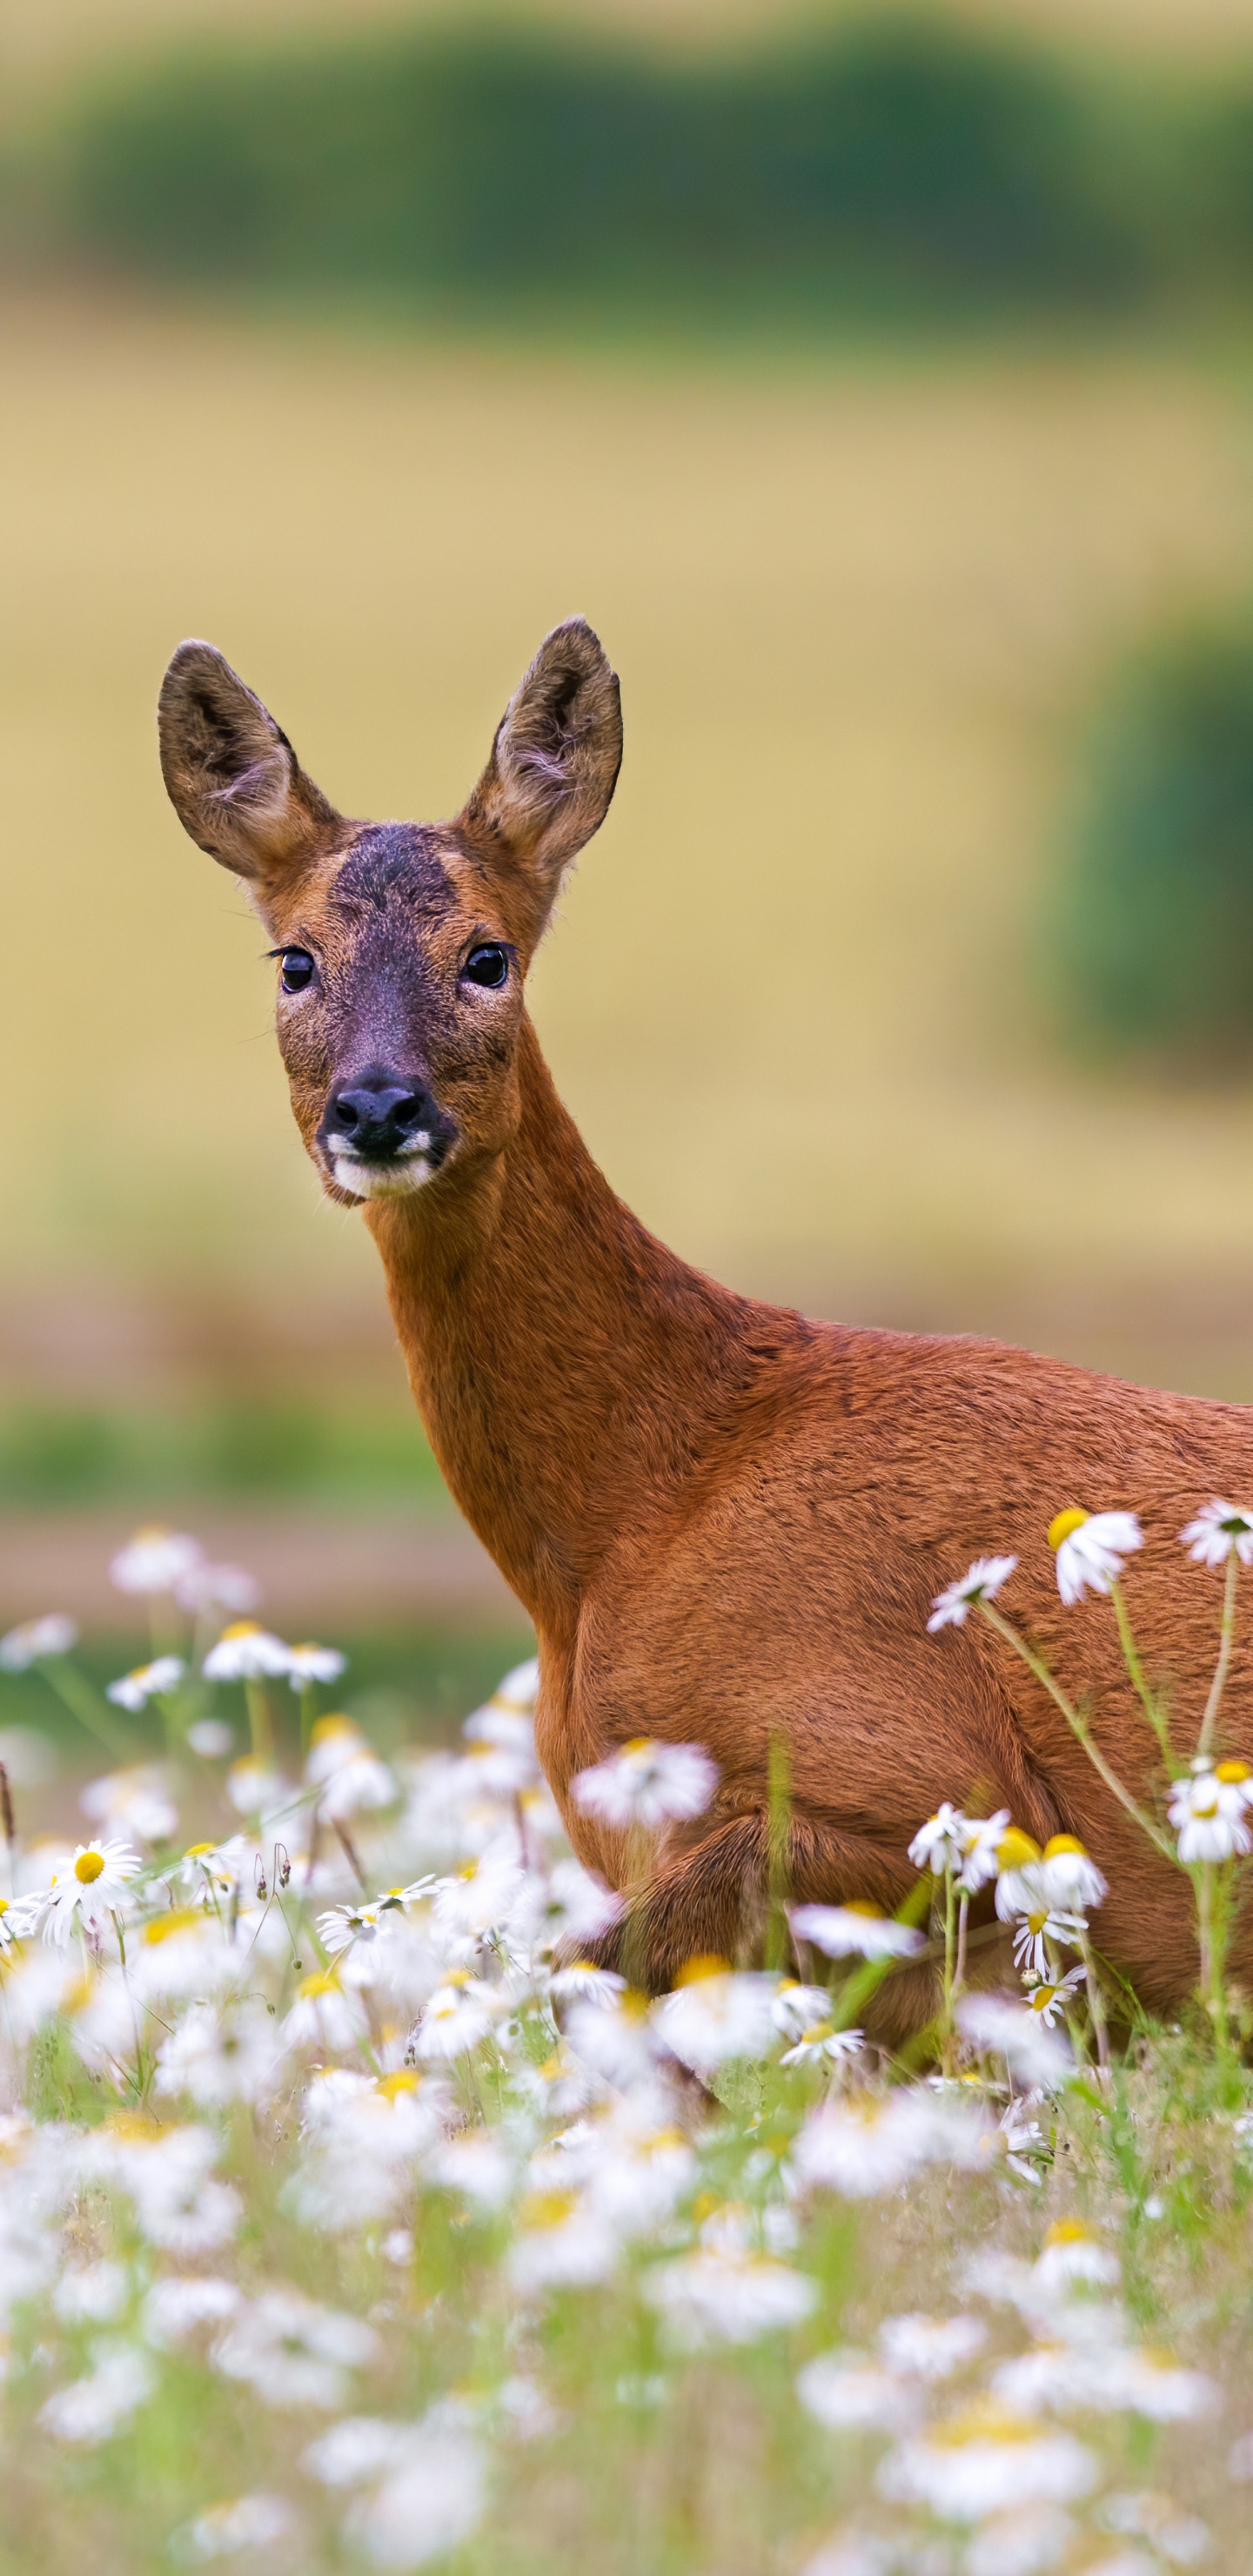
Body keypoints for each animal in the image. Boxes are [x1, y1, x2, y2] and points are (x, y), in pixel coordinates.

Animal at [159, 616, 1253, 2035]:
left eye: (486, 955)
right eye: (294, 961)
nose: (379, 1106)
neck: (640, 1507)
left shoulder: (942, 1788)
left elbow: (586, 1979)